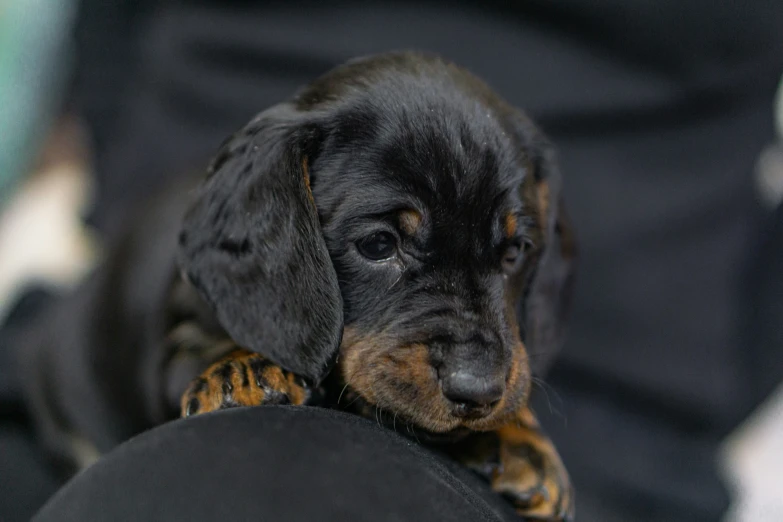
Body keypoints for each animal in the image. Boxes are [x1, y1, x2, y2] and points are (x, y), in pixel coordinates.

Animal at [18, 50, 576, 516]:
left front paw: (521, 437)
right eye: (379, 244)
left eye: (514, 252)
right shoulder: (176, 344)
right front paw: (242, 371)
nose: (477, 391)